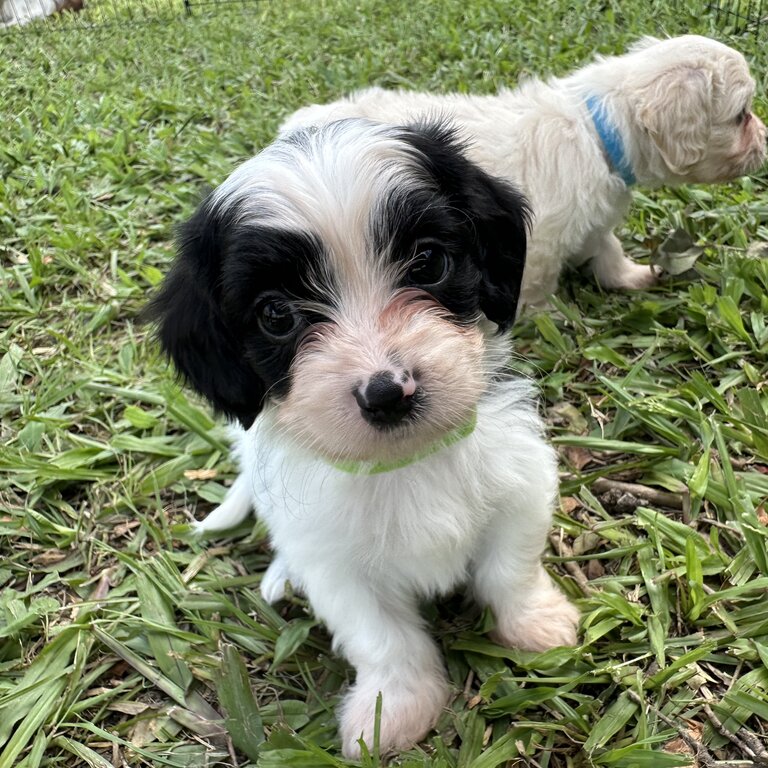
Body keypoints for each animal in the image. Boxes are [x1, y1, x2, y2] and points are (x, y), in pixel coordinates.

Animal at [147, 120, 580, 756]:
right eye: (276, 315)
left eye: (428, 261)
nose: (388, 392)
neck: (404, 461)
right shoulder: (333, 564)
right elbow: (382, 636)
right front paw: (393, 708)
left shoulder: (519, 486)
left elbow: (510, 570)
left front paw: (536, 623)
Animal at [282, 33, 768, 308]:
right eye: (741, 115)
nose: (765, 141)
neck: (598, 128)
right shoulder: (539, 246)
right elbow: (535, 295)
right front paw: (555, 321)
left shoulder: (594, 220)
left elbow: (607, 250)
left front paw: (631, 278)